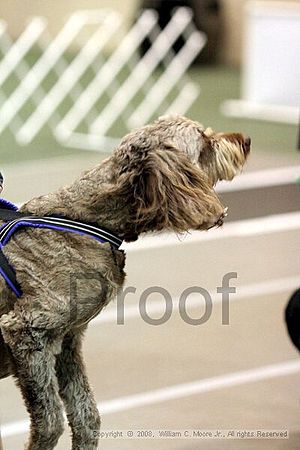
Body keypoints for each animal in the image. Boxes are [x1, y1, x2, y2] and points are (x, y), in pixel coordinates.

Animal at [0, 114, 250, 448]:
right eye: (204, 141)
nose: (246, 140)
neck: (88, 220)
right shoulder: (26, 332)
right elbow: (50, 422)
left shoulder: (67, 340)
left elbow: (87, 415)